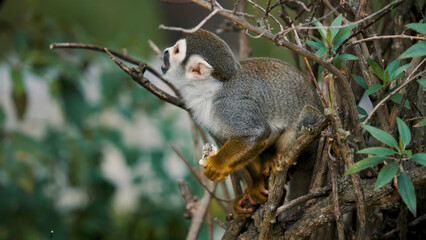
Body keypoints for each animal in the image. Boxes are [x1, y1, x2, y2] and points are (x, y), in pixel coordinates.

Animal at [161, 29, 322, 218]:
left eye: (177, 51)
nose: (165, 52)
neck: (208, 90)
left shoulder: (229, 105)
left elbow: (257, 133)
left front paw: (217, 164)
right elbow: (228, 139)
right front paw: (255, 185)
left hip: (312, 147)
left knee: (308, 113)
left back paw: (281, 158)